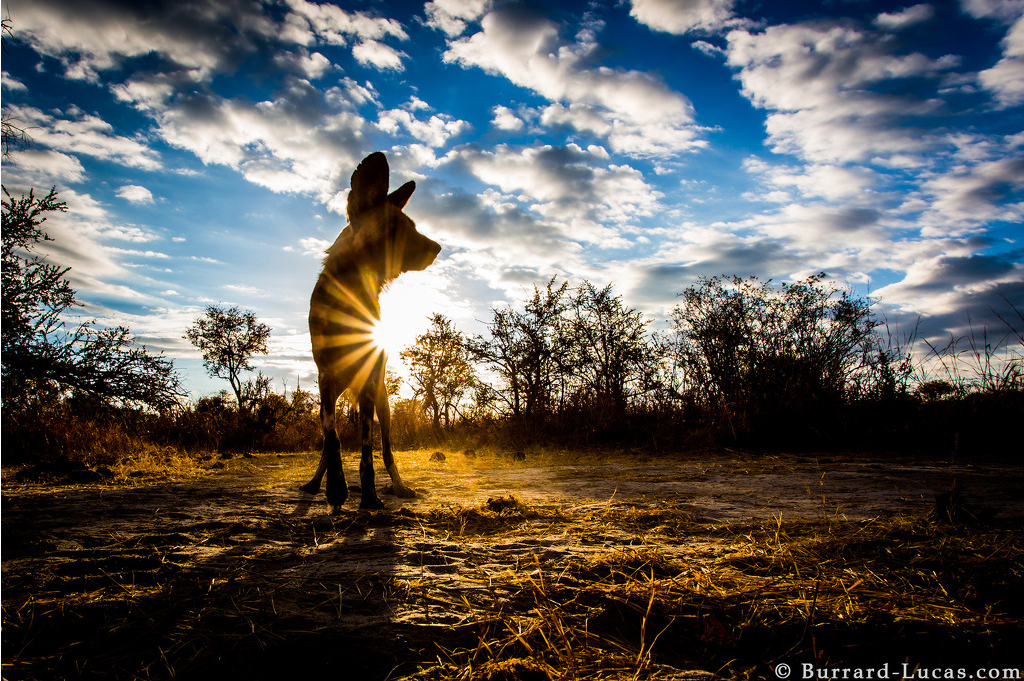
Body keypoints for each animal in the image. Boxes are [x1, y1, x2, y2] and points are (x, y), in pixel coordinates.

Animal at [299, 150, 438, 509]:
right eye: (396, 228)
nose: (437, 248)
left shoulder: (368, 384)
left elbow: (366, 449)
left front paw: (370, 497)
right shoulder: (325, 379)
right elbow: (333, 440)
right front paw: (336, 489)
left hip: (383, 403)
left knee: (387, 450)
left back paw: (399, 486)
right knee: (325, 444)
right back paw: (315, 483)